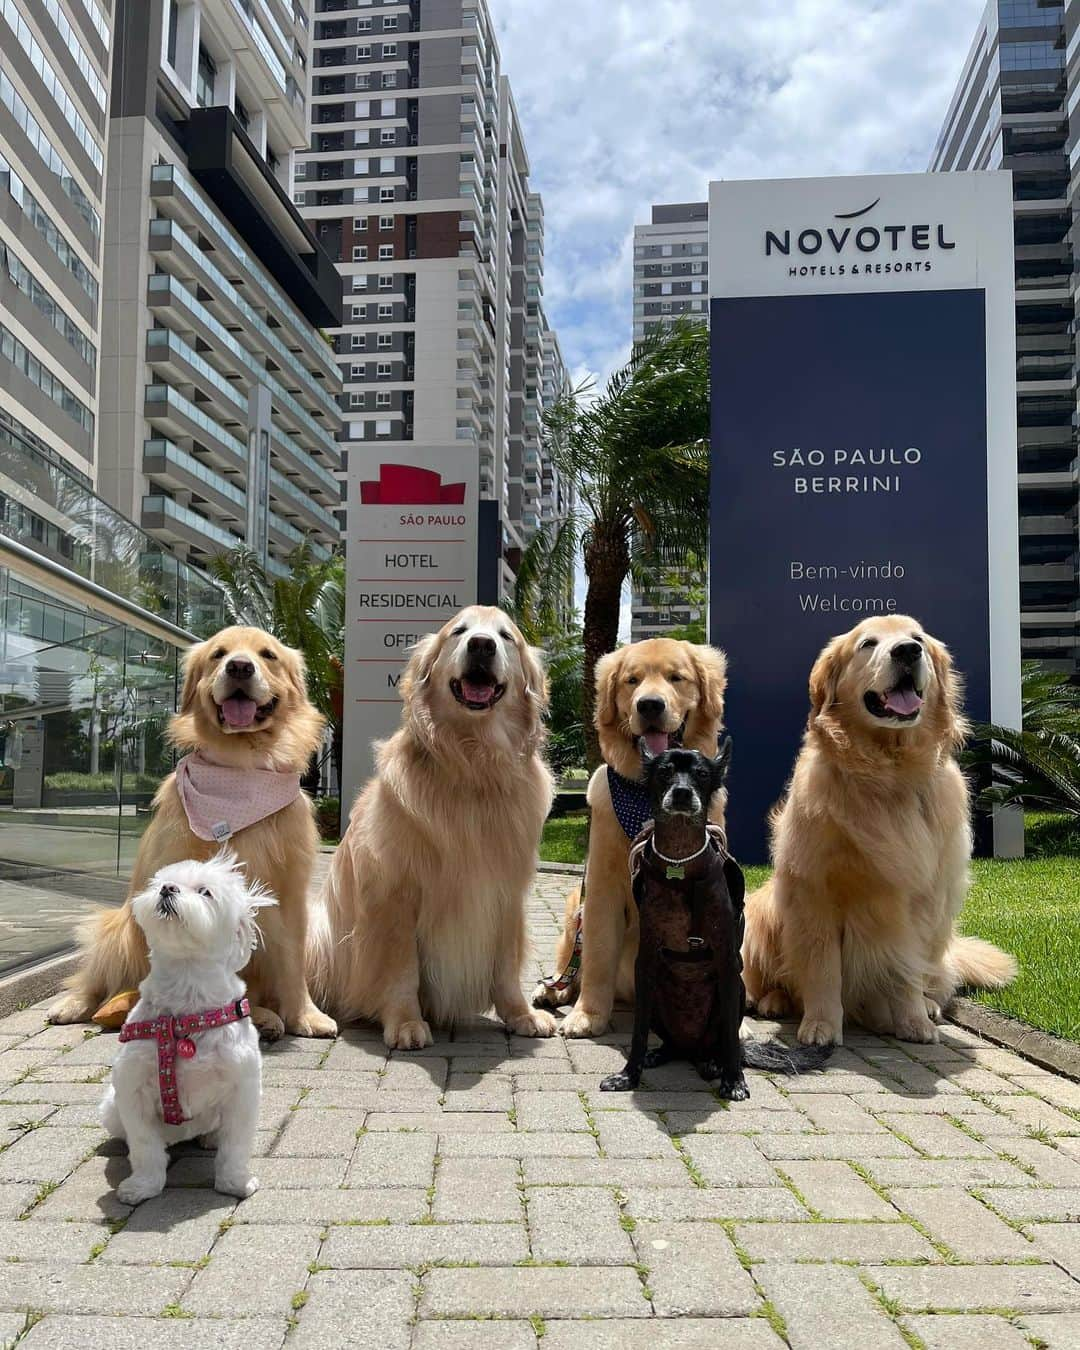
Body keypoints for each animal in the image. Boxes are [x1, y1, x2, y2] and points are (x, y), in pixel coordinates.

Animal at [99, 853, 274, 1204]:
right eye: (159, 882)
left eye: (205, 891)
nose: (167, 888)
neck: (186, 1011)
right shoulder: (132, 1087)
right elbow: (145, 1146)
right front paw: (142, 1186)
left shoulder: (243, 1087)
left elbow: (236, 1145)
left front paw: (235, 1182)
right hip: (111, 1107)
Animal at [599, 739, 826, 1096]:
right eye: (664, 772)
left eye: (702, 774)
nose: (681, 792)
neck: (680, 866)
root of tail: (691, 1047)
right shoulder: (645, 964)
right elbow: (637, 1033)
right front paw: (628, 1075)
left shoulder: (727, 962)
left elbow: (731, 1040)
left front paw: (735, 1081)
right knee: (674, 1045)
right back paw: (662, 1054)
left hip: (733, 997)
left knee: (722, 1043)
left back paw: (715, 1064)